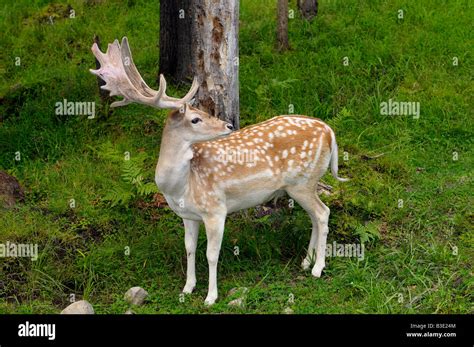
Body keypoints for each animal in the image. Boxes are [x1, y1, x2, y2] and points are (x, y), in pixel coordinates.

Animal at [90, 36, 348, 306]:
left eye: (203, 112)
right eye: (196, 118)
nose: (229, 124)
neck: (182, 186)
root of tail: (330, 131)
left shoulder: (215, 209)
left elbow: (211, 254)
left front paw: (211, 296)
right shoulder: (188, 215)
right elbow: (189, 248)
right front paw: (187, 288)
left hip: (303, 182)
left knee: (323, 213)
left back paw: (318, 268)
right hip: (300, 186)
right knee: (315, 216)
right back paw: (306, 262)